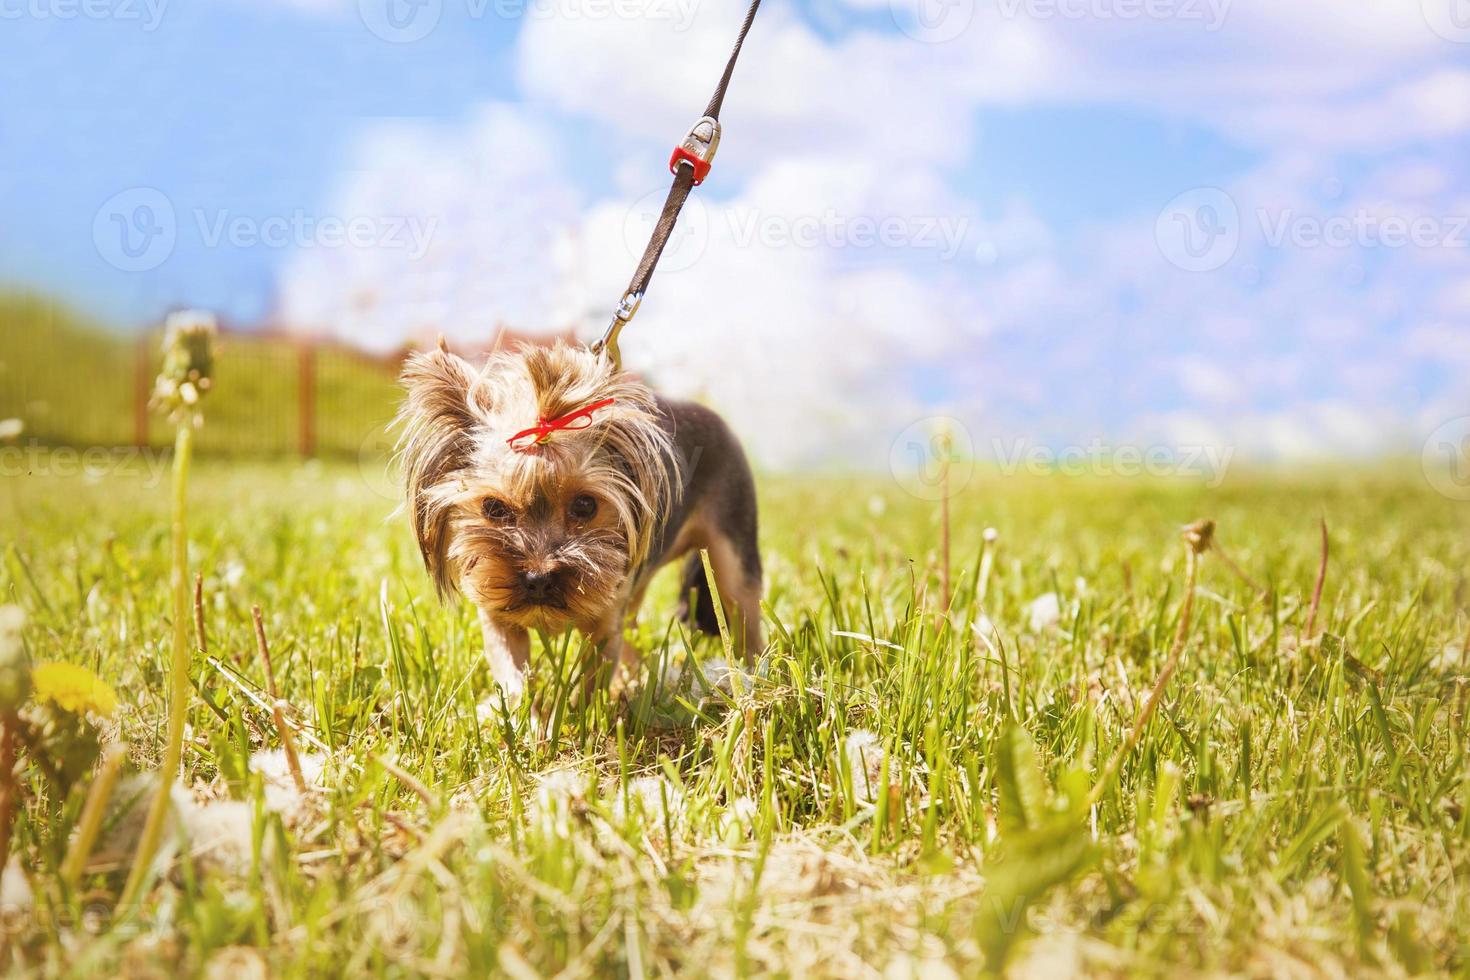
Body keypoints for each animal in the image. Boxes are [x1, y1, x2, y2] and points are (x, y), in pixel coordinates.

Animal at [393, 340, 758, 708]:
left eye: (585, 505)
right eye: (493, 507)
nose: (538, 579)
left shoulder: (606, 615)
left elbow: (593, 677)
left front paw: (584, 713)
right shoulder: (496, 612)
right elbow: (512, 674)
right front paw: (525, 718)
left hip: (734, 540)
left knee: (745, 608)